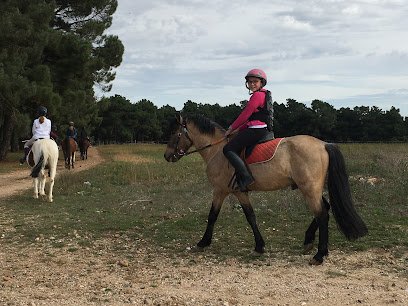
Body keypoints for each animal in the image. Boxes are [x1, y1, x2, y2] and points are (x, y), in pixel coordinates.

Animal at [164, 115, 368, 266]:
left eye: (175, 132)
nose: (167, 156)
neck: (216, 151)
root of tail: (324, 144)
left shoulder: (221, 191)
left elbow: (215, 216)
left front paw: (203, 242)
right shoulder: (238, 193)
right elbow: (250, 216)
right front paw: (259, 246)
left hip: (309, 189)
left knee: (322, 214)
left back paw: (319, 255)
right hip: (312, 189)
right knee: (324, 209)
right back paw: (309, 243)